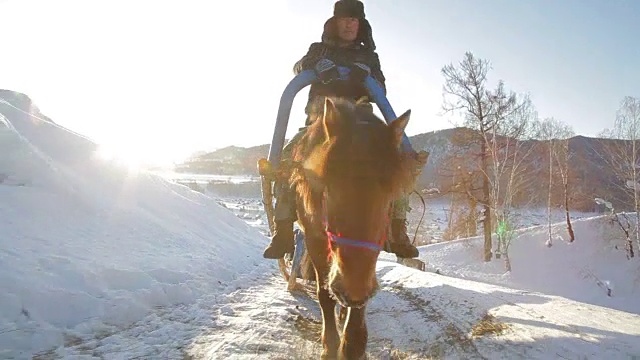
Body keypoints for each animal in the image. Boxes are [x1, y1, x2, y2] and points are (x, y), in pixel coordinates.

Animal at [288, 97, 418, 358]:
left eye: (390, 197)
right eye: (327, 189)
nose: (352, 288)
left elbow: (357, 308)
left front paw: (353, 343)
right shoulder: (314, 238)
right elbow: (324, 293)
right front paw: (330, 345)